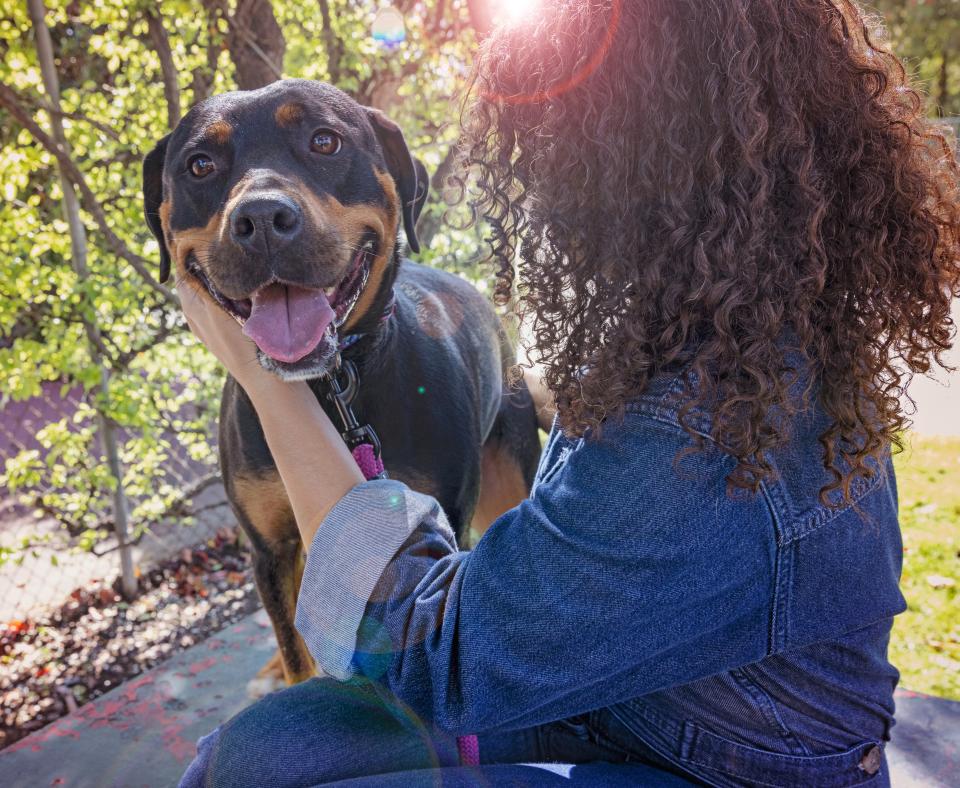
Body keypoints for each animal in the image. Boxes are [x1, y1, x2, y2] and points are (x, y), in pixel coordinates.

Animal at [146, 80, 544, 692]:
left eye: (325, 140)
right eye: (200, 164)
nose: (261, 218)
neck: (331, 385)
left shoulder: (431, 533)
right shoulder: (269, 546)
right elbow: (295, 647)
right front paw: (290, 671)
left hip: (506, 480)